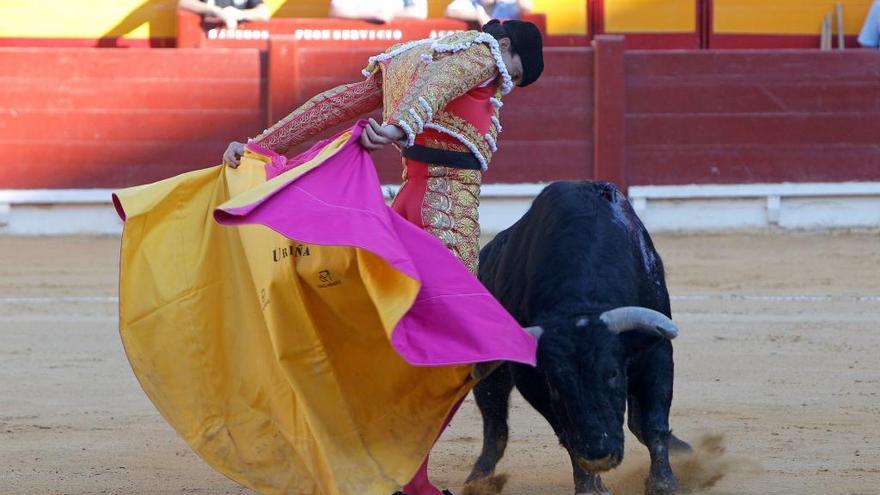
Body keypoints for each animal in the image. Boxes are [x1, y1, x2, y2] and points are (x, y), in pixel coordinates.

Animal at [464, 182, 692, 495]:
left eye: (612, 374)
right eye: (556, 383)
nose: (599, 457)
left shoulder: (655, 351)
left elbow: (654, 421)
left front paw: (663, 483)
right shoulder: (532, 379)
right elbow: (567, 435)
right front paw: (590, 486)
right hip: (490, 371)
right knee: (495, 424)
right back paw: (479, 480)